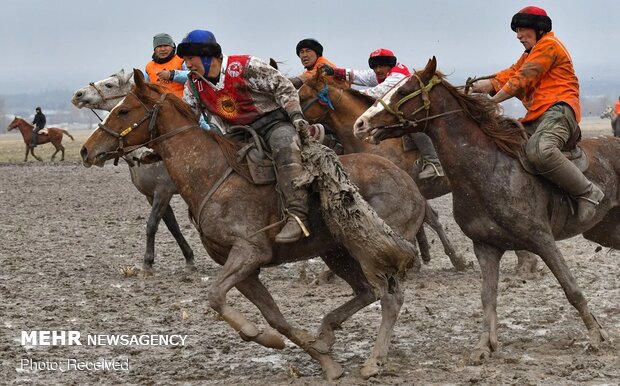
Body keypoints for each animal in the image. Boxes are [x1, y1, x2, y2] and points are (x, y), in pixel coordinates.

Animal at [70, 71, 194, 272]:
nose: (78, 94)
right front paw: (189, 257)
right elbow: (172, 226)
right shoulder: (151, 195)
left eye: (110, 85)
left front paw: (148, 261)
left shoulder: (163, 191)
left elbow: (152, 224)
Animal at [354, 55, 616, 364]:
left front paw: (597, 336)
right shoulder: (486, 247)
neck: (487, 167)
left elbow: (571, 289)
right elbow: (487, 297)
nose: (360, 124)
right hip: (606, 231)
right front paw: (484, 346)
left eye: (404, 90)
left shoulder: (542, 240)